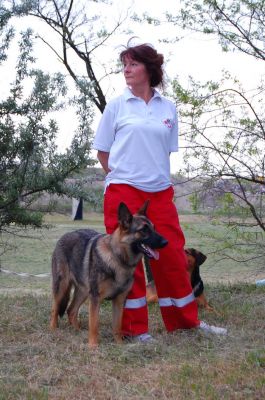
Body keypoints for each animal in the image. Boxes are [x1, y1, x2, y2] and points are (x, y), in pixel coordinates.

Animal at [49, 202, 167, 348]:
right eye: (144, 230)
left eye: (154, 228)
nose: (166, 242)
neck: (118, 258)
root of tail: (65, 235)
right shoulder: (95, 299)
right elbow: (94, 324)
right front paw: (93, 346)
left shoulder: (119, 300)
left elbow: (117, 326)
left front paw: (119, 345)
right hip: (62, 286)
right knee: (55, 309)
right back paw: (53, 329)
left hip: (83, 292)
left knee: (71, 310)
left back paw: (77, 332)